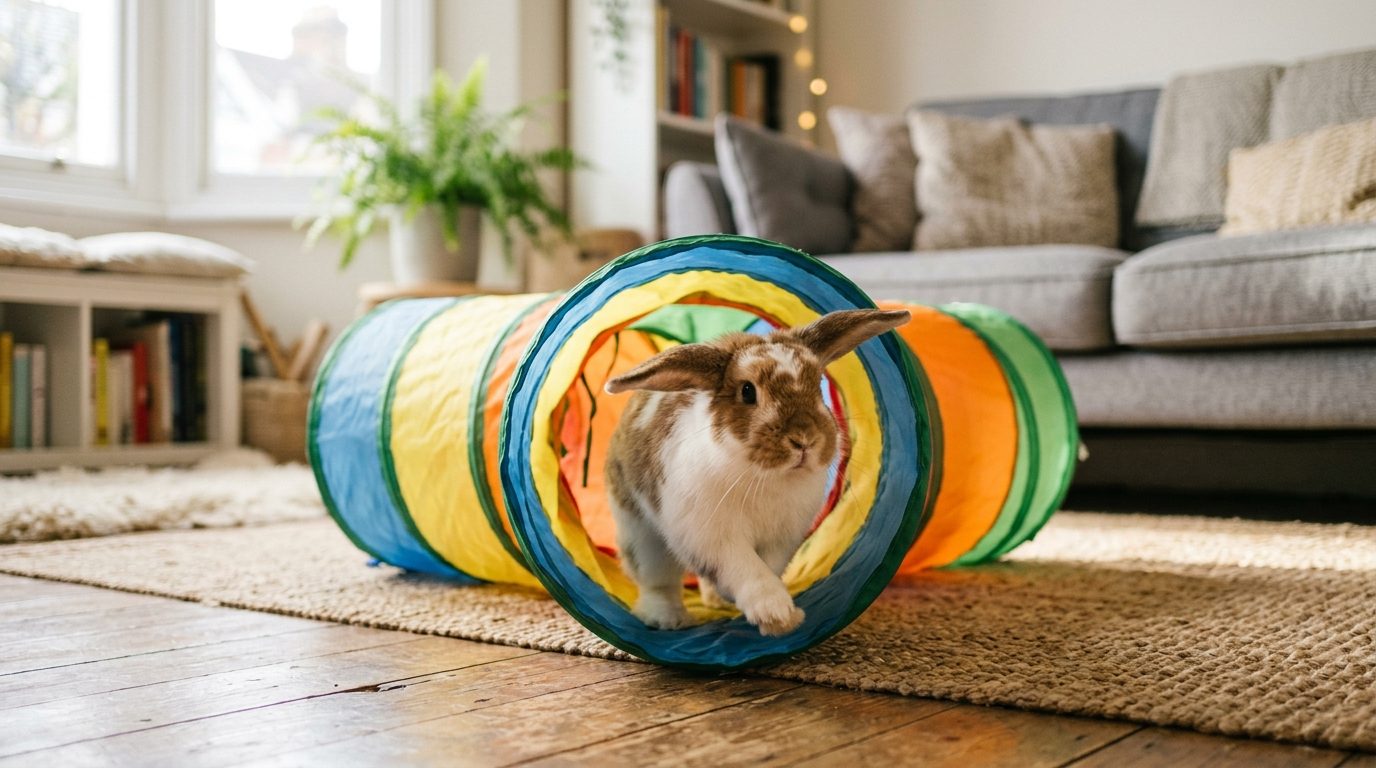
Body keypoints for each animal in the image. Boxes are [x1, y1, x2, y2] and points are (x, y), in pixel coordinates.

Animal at [603, 308, 910, 636]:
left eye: (818, 385)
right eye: (747, 392)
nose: (805, 439)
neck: (765, 476)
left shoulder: (782, 539)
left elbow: (769, 569)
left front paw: (780, 616)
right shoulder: (714, 538)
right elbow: (748, 571)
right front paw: (777, 616)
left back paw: (715, 601)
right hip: (641, 534)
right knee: (657, 582)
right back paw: (668, 619)